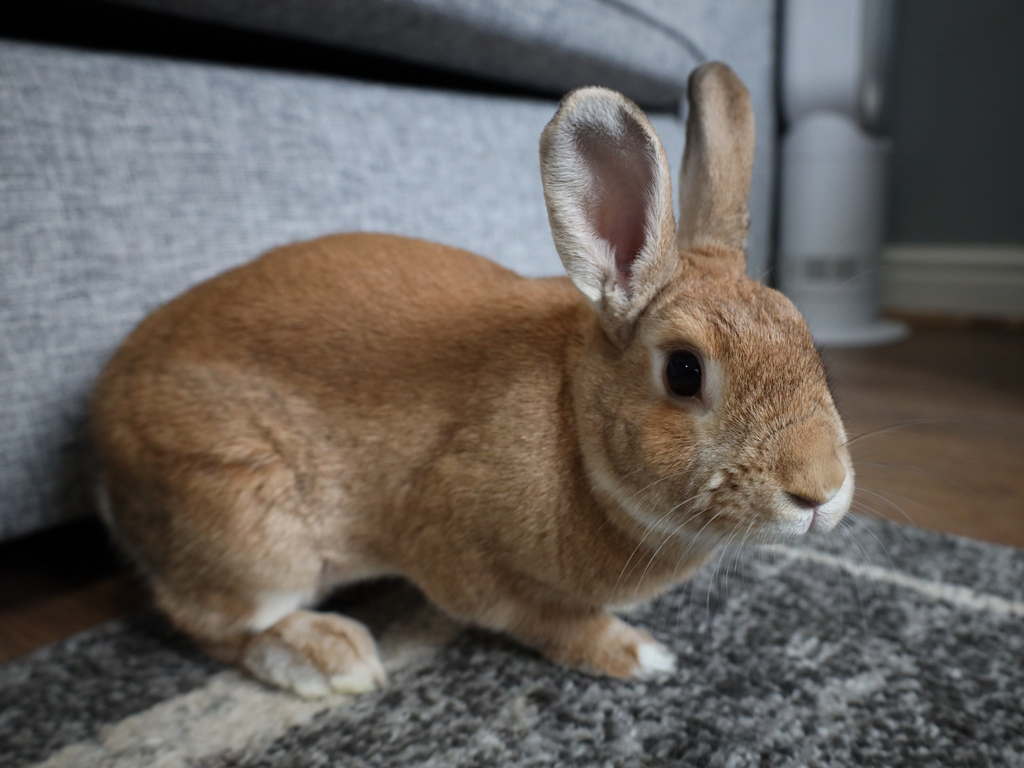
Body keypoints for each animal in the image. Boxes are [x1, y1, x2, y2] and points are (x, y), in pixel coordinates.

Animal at [92, 63, 851, 700]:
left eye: (805, 338)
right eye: (684, 371)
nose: (820, 490)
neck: (572, 419)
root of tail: (100, 428)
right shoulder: (467, 560)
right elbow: (550, 621)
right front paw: (638, 656)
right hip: (252, 531)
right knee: (209, 621)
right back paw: (331, 659)